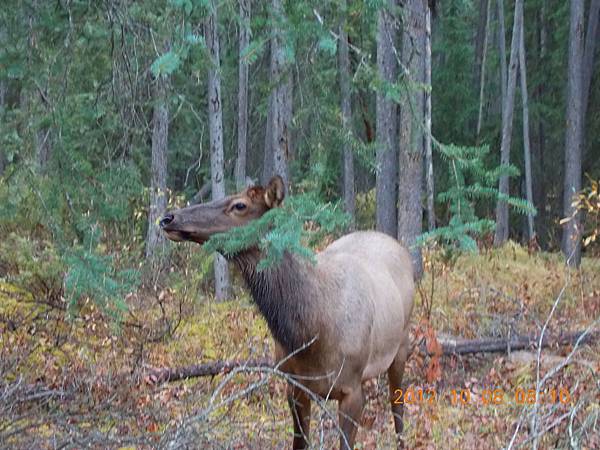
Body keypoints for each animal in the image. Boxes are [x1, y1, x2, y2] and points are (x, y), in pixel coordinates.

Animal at [159, 177, 412, 450]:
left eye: (240, 205)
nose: (168, 218)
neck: (312, 332)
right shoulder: (294, 385)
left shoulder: (351, 389)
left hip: (401, 345)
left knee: (398, 406)